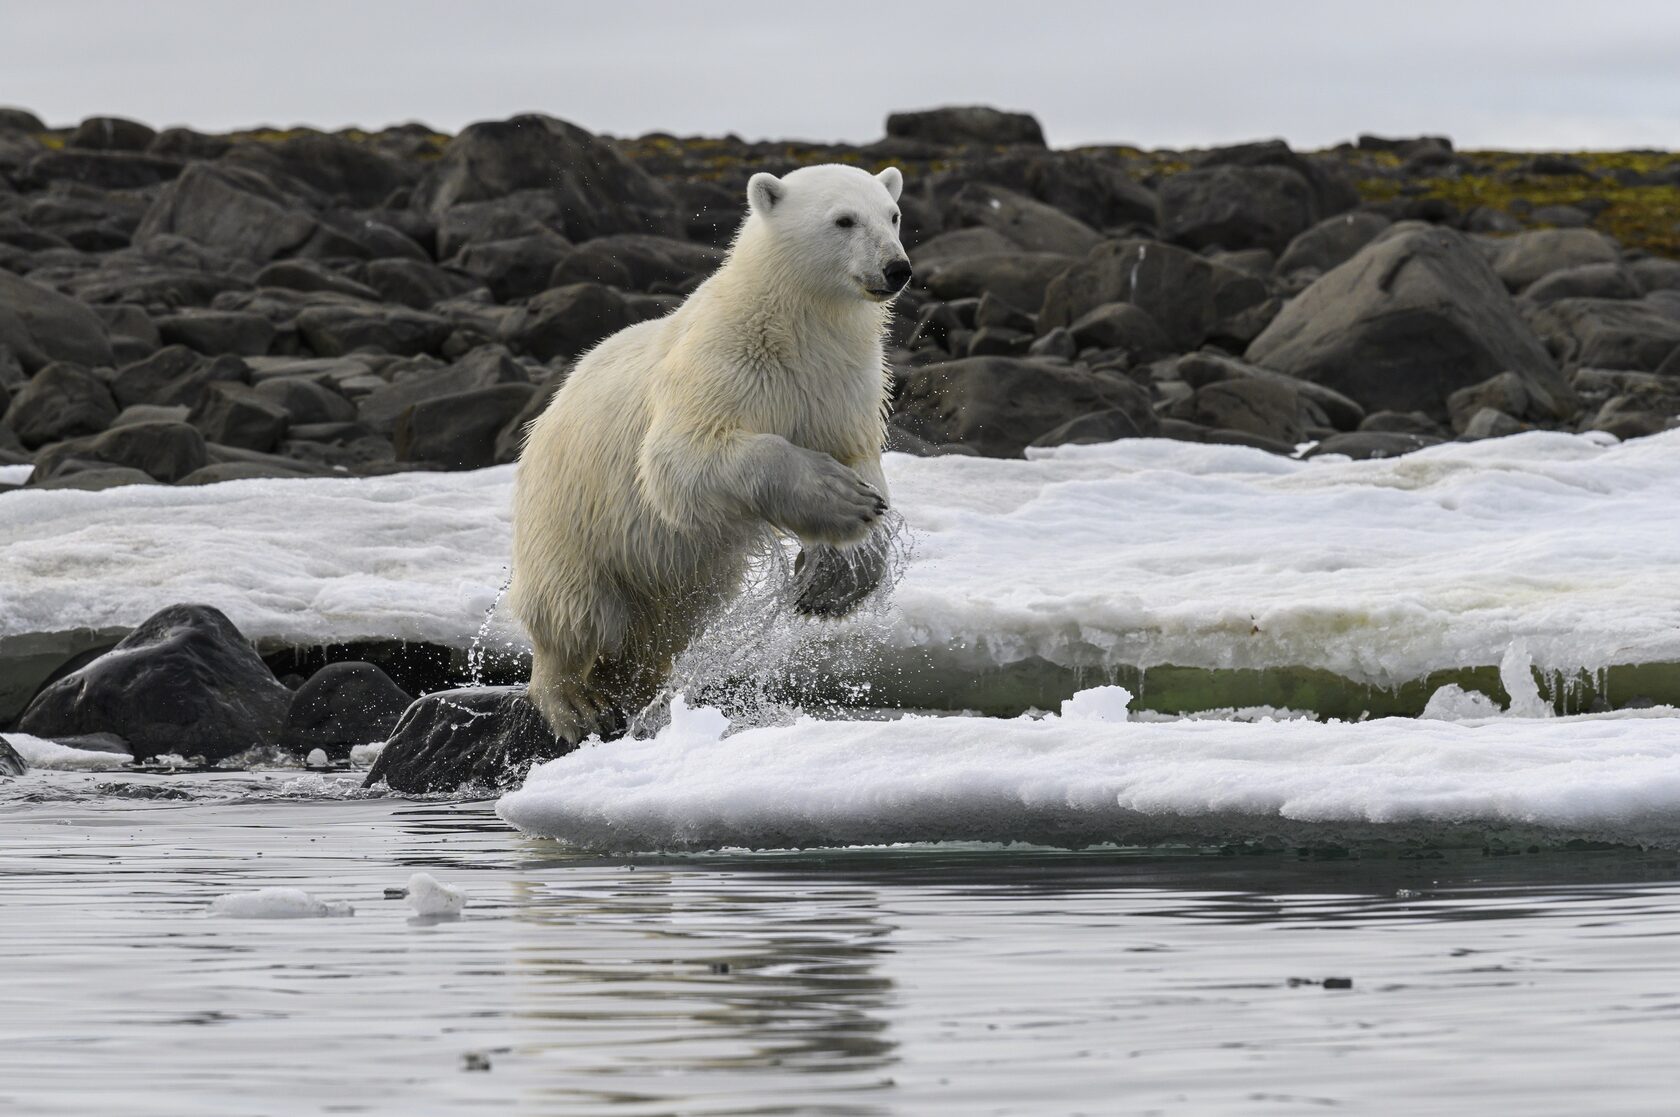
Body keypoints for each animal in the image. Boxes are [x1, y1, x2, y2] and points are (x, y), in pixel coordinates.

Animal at [507, 163, 913, 739]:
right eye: (844, 219)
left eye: (893, 214)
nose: (896, 268)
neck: (797, 324)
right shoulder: (725, 364)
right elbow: (681, 461)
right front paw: (840, 500)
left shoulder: (840, 385)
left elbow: (861, 458)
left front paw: (835, 578)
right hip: (572, 520)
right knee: (577, 612)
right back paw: (577, 705)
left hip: (683, 579)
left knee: (665, 629)